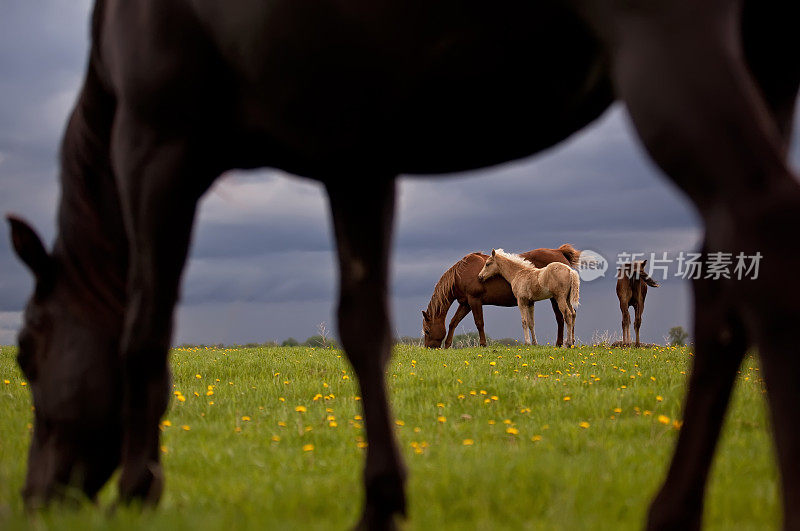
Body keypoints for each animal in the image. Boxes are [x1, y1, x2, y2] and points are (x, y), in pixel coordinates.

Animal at [422, 244, 580, 350]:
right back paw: (570, 342)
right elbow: (453, 322)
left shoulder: (474, 300)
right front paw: (448, 345)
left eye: (427, 330)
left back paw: (561, 343)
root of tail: (560, 252)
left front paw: (483, 344)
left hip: (556, 298)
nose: (429, 348)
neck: (461, 274)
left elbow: (479, 323)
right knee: (571, 315)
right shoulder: (465, 303)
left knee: (562, 317)